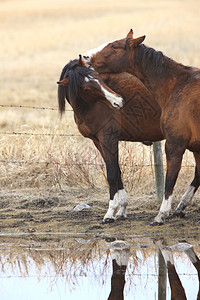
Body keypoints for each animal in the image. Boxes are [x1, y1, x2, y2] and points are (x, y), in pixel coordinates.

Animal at [57, 54, 162, 223]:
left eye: (98, 77)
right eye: (86, 88)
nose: (118, 101)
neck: (91, 105)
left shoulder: (108, 139)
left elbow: (112, 174)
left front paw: (110, 212)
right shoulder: (98, 142)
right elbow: (116, 172)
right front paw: (122, 209)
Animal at [85, 29, 200, 225]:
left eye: (114, 46)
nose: (86, 57)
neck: (177, 85)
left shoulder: (174, 144)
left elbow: (170, 180)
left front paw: (161, 214)